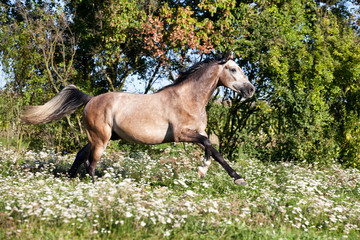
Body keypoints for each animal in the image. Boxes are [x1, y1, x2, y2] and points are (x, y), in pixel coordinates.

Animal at [21, 54, 255, 186]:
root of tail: (90, 99)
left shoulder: (199, 132)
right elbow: (209, 146)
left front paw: (233, 177)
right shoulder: (181, 135)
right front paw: (207, 171)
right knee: (90, 162)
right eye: (233, 69)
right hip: (101, 139)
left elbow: (214, 151)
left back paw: (69, 180)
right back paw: (95, 188)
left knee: (80, 156)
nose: (250, 90)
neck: (189, 98)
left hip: (100, 137)